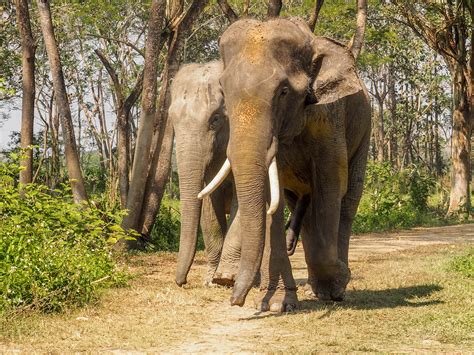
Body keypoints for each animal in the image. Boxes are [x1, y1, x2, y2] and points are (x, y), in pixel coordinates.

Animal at [199, 17, 370, 312]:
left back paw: (332, 288)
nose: (235, 301)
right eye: (223, 90)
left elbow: (331, 184)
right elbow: (271, 199)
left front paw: (339, 277)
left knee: (347, 201)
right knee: (303, 207)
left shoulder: (328, 118)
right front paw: (278, 304)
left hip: (365, 131)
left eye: (284, 91)